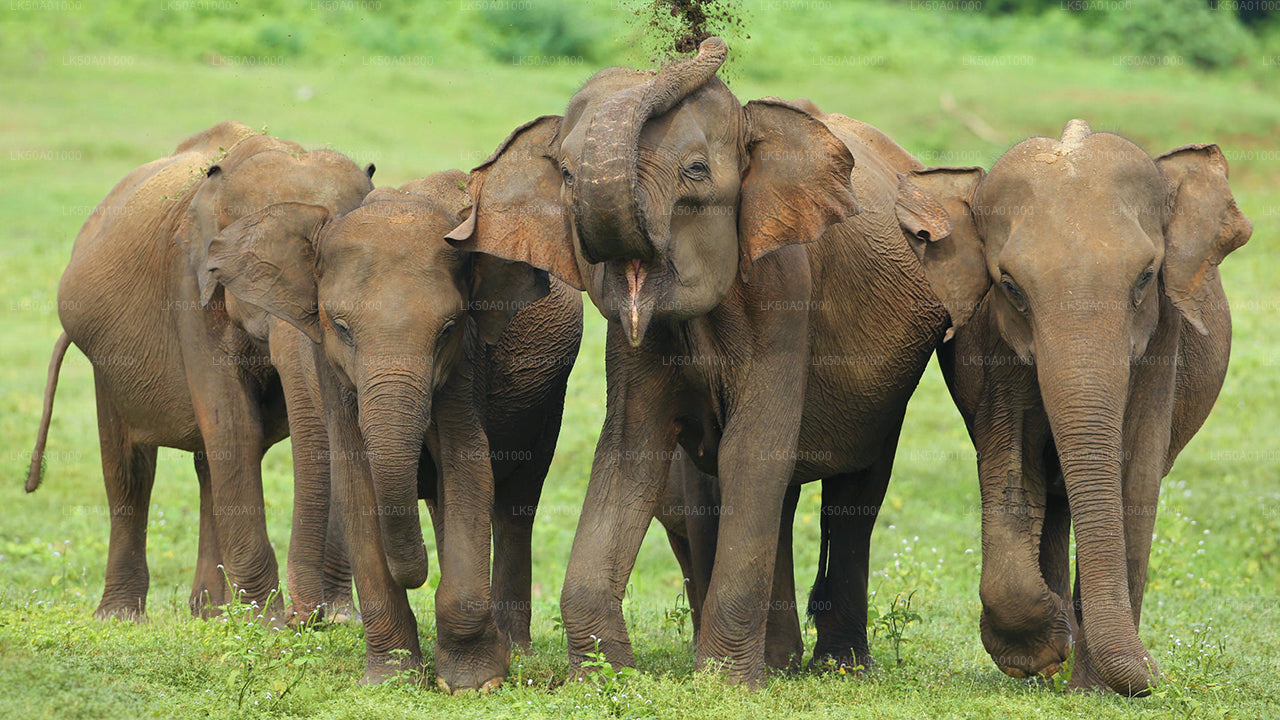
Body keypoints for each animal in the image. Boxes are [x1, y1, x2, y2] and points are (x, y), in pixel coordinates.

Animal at [26, 120, 373, 620]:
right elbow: (233, 425)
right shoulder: (189, 283)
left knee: (208, 465)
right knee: (129, 469)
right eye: (252, 274)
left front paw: (336, 619)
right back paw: (123, 617)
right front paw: (268, 622)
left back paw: (208, 612)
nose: (308, 617)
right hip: (105, 361)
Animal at [202, 167, 583, 691]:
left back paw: (515, 651)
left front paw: (472, 683)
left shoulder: (466, 365)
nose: (417, 574)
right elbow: (357, 486)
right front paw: (392, 680)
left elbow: (469, 470)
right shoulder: (332, 370)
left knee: (515, 503)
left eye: (448, 328)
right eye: (341, 327)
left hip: (548, 399)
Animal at [448, 39, 988, 681]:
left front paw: (726, 683)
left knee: (855, 492)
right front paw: (605, 676)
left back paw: (838, 667)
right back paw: (781, 663)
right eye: (567, 175)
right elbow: (631, 454)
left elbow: (751, 453)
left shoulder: (786, 295)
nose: (701, 41)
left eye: (697, 172)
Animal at [926, 120, 1254, 691]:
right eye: (1010, 286)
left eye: (1146, 276)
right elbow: (1012, 464)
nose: (1158, 673)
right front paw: (1040, 651)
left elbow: (1135, 477)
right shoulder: (993, 345)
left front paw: (1097, 688)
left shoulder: (1162, 339)